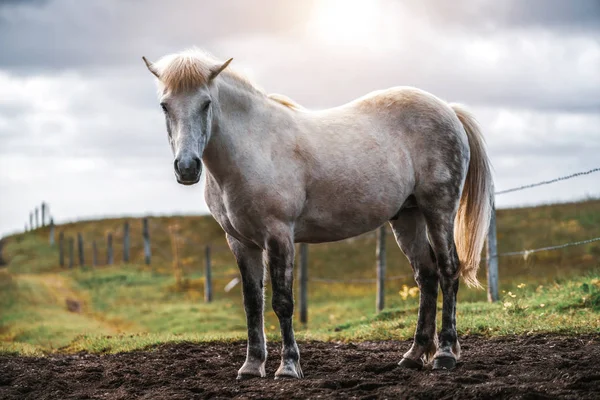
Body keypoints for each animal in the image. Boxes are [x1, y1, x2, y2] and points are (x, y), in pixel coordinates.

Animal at [143, 49, 494, 378]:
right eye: (165, 106)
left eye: (206, 103)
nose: (187, 167)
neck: (253, 148)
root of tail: (448, 110)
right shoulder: (241, 242)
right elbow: (252, 303)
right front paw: (252, 366)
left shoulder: (279, 236)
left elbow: (282, 302)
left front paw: (288, 367)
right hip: (407, 217)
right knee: (427, 276)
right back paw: (414, 355)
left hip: (438, 210)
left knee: (448, 271)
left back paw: (445, 354)